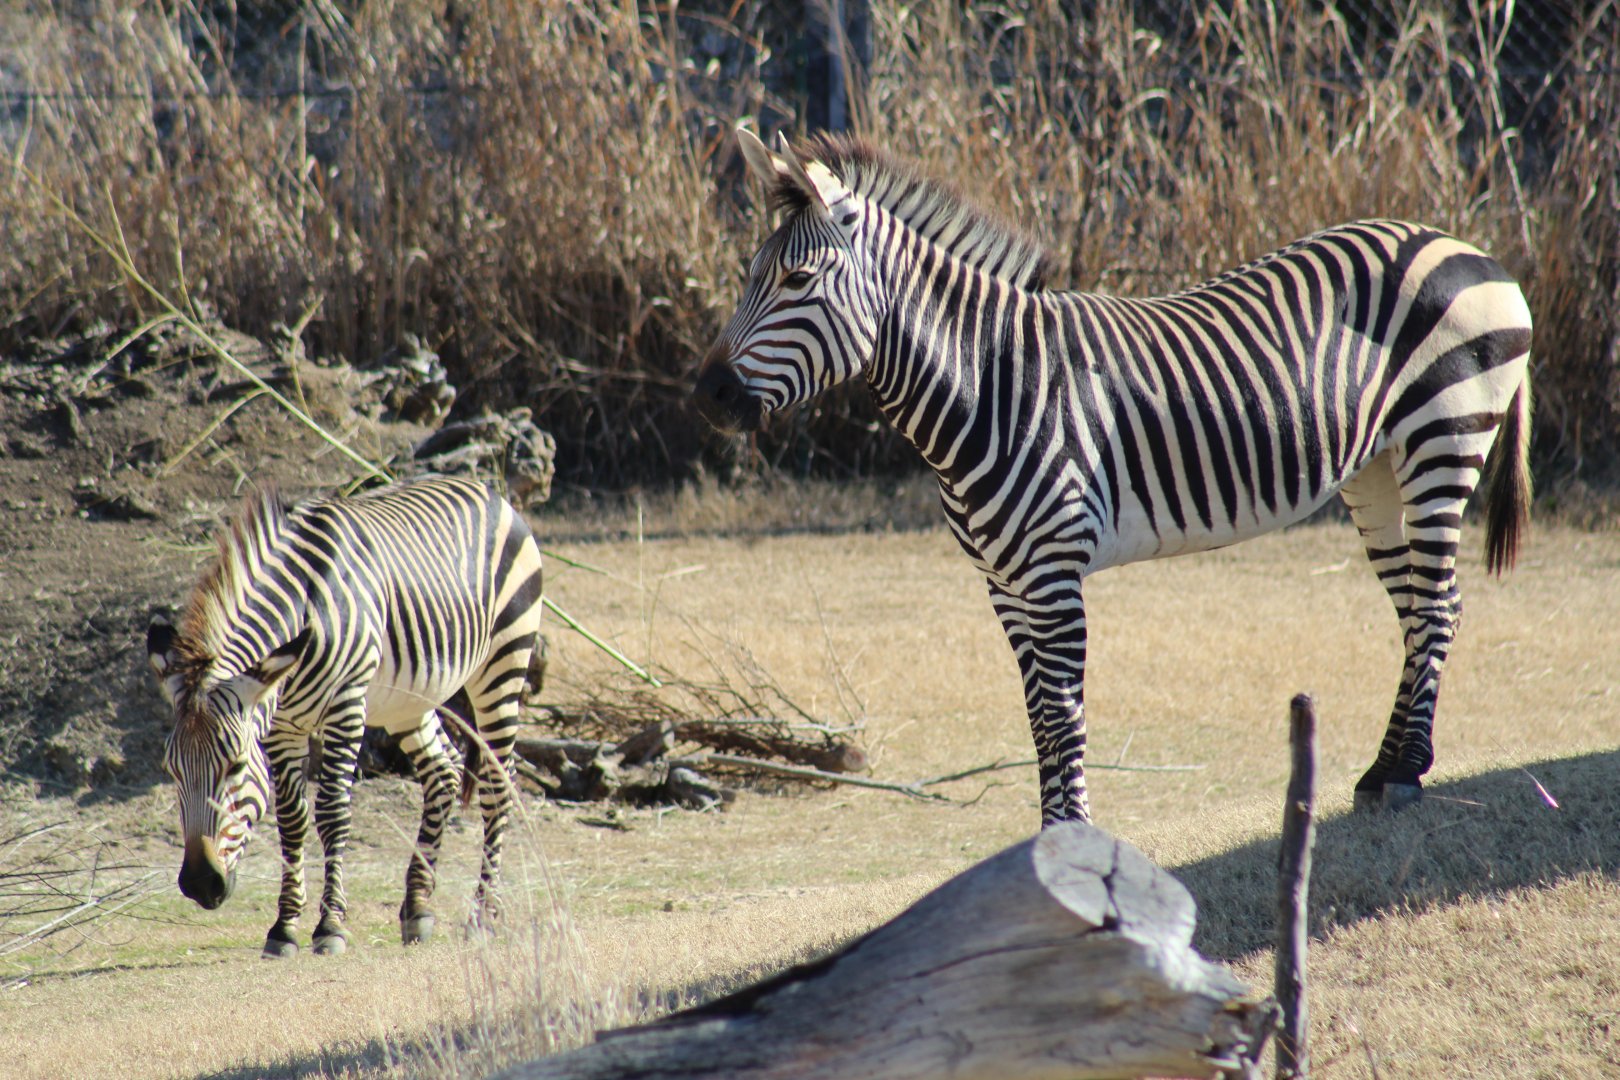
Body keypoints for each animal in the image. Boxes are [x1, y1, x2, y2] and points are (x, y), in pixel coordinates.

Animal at [146, 475, 544, 956]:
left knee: (498, 785)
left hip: (505, 661)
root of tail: (486, 489)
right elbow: (292, 818)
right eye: (172, 770)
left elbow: (333, 811)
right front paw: (284, 927)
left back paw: (483, 916)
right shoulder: (281, 727)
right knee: (443, 771)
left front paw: (330, 926)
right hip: (409, 698)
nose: (201, 884)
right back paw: (417, 907)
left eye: (236, 766)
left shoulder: (346, 705)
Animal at [694, 129, 1533, 825]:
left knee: (1439, 604)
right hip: (1377, 470)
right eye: (752, 274)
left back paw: (1407, 773)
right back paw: (1386, 768)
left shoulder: (1051, 572)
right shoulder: (1004, 583)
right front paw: (1049, 836)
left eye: (797, 279)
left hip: (1444, 436)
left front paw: (1071, 841)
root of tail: (1467, 247)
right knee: (1420, 606)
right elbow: (1037, 717)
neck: (990, 383)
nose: (710, 393)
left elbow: (1063, 715)